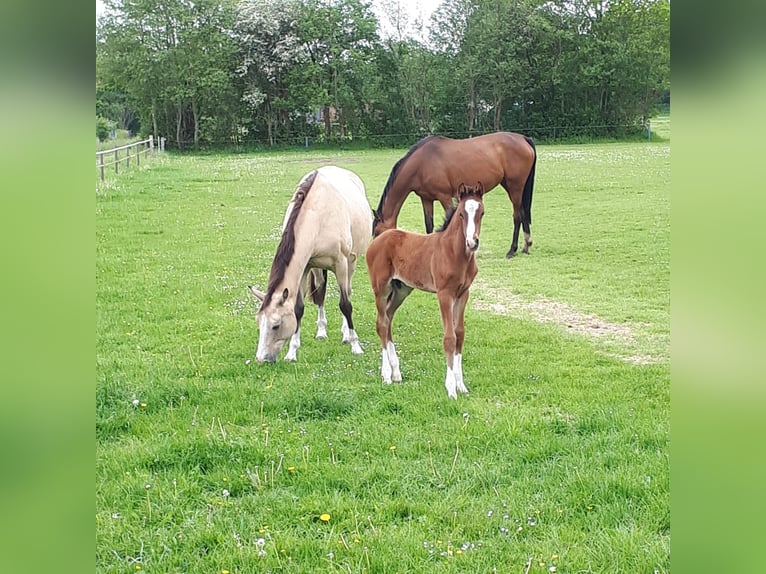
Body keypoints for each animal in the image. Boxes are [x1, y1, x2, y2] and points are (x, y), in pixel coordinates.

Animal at [250, 166, 374, 364]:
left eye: (276, 325)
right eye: (259, 322)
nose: (261, 359)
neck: (319, 214)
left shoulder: (341, 263)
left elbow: (345, 304)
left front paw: (356, 346)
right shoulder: (306, 266)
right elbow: (299, 309)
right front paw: (292, 352)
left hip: (351, 263)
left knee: (347, 292)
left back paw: (346, 334)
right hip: (318, 268)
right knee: (321, 292)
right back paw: (322, 332)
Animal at [366, 182, 486, 398]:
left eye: (481, 212)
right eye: (462, 214)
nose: (472, 242)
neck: (455, 253)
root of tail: (377, 240)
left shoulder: (463, 293)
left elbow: (460, 334)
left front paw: (461, 385)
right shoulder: (444, 294)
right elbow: (449, 337)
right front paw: (451, 389)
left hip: (402, 289)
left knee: (388, 318)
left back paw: (396, 372)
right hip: (381, 288)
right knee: (381, 323)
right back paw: (386, 374)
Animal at [376, 133, 536, 258]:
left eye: (377, 232)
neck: (422, 163)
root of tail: (523, 138)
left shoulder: (445, 197)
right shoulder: (426, 199)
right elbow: (429, 225)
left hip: (515, 187)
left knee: (517, 216)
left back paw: (512, 250)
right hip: (512, 187)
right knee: (522, 212)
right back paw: (526, 245)